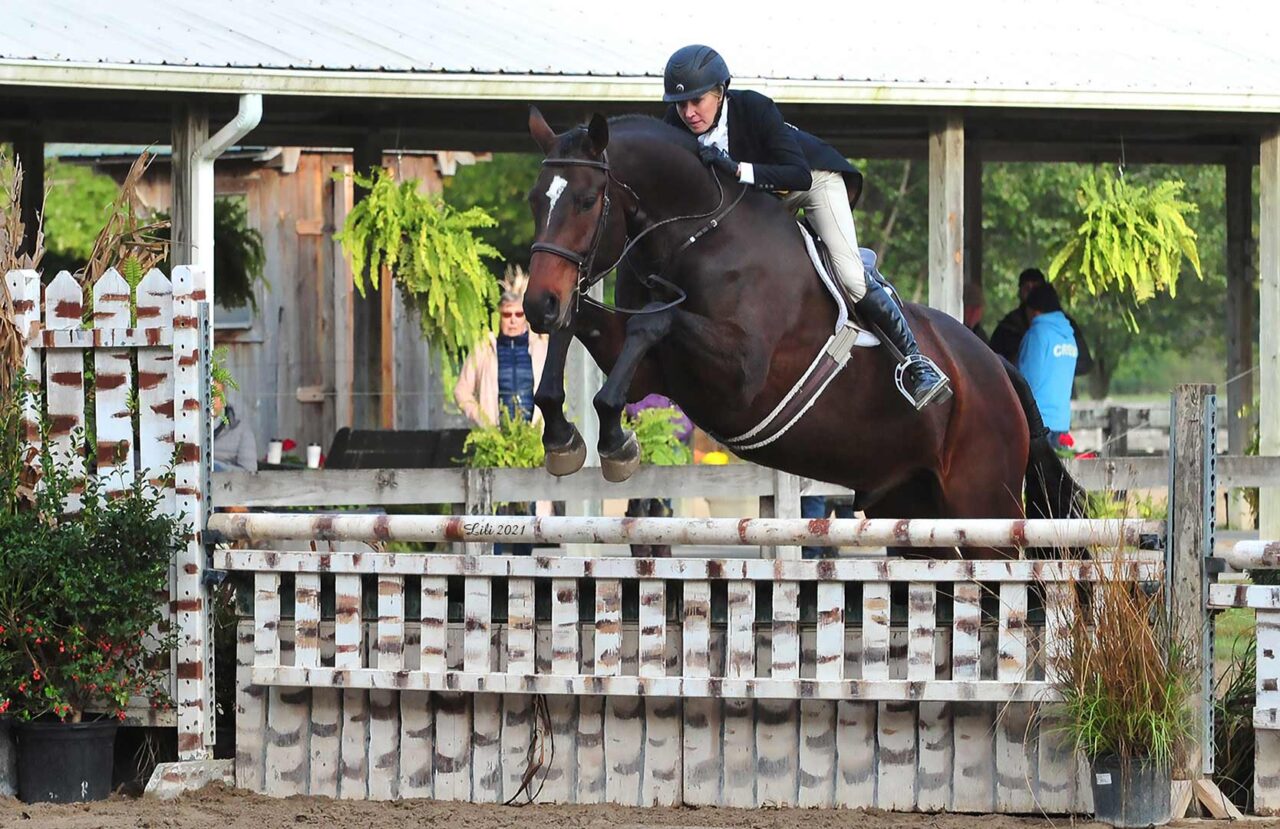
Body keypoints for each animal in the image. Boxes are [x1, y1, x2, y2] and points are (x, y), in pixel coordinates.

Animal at [522, 107, 1083, 557]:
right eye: (535, 200)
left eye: (588, 200)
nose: (537, 305)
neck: (697, 237)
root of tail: (998, 367)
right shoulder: (652, 369)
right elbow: (590, 326)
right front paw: (562, 435)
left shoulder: (740, 377)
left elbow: (654, 321)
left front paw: (616, 444)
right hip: (916, 511)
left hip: (983, 506)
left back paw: (923, 378)